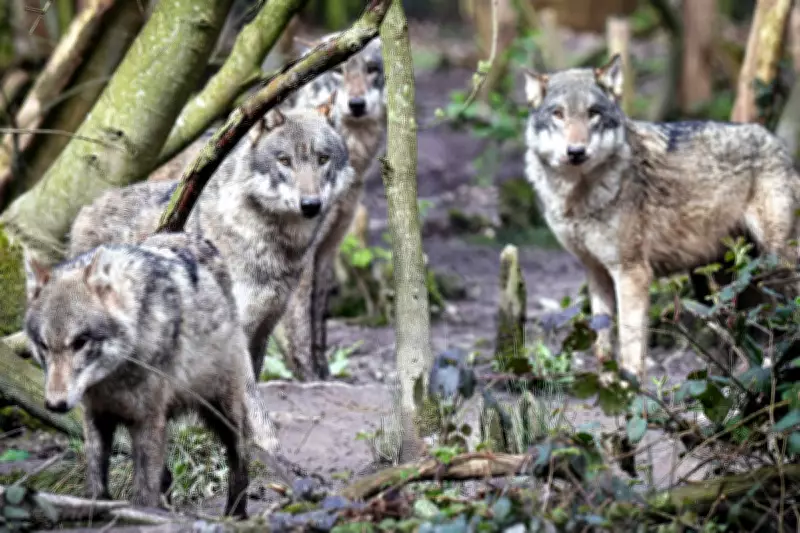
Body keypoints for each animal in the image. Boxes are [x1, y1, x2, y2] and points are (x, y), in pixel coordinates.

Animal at [22, 231, 280, 517]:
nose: (55, 404)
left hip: (220, 409)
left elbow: (145, 493)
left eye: (80, 342)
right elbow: (97, 480)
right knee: (167, 474)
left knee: (240, 457)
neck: (114, 376)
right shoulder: (97, 416)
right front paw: (97, 509)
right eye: (44, 345)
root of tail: (195, 237)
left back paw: (236, 514)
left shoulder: (148, 419)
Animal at [278, 34, 387, 376]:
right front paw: (307, 376)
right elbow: (299, 322)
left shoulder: (328, 248)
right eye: (338, 71)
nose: (356, 104)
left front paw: (323, 371)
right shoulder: (301, 254)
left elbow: (318, 316)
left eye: (371, 69)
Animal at [522, 54, 800, 381]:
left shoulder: (632, 272)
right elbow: (603, 345)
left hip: (775, 264)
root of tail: (778, 144)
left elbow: (630, 346)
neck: (579, 196)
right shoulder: (596, 272)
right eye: (558, 114)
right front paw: (605, 388)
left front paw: (629, 388)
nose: (576, 151)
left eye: (592, 113)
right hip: (719, 281)